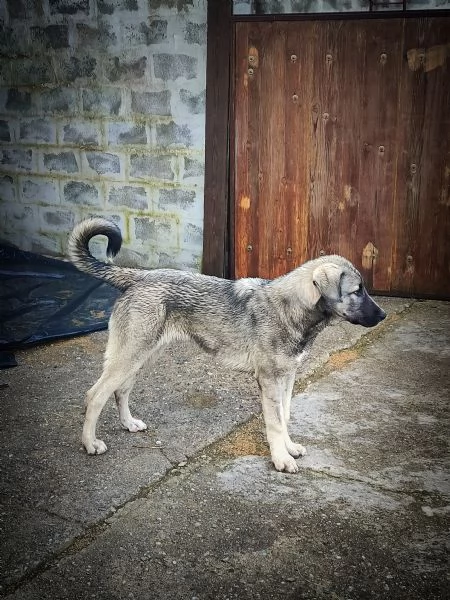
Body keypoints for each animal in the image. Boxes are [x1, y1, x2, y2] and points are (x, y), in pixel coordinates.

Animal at [67, 217, 386, 474]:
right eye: (357, 291)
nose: (384, 315)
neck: (291, 307)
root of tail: (138, 276)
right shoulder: (270, 381)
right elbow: (275, 422)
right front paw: (281, 459)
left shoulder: (287, 378)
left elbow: (285, 417)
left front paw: (289, 448)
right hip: (129, 357)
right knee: (94, 396)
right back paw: (90, 443)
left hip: (142, 357)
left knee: (120, 391)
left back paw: (128, 423)